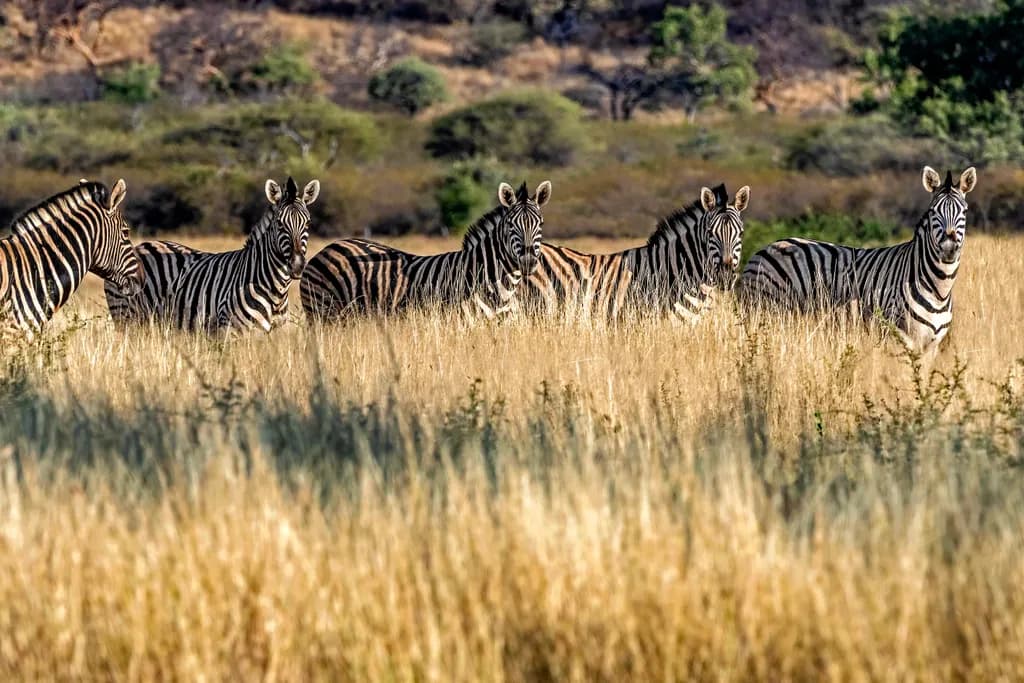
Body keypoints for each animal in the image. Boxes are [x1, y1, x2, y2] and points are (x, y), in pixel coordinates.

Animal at [105, 177, 320, 332]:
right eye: (279, 224)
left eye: (308, 223)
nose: (297, 265)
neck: (275, 290)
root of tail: (141, 245)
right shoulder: (231, 331)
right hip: (126, 316)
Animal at [738, 166, 977, 352]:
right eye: (933, 212)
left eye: (965, 211)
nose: (948, 248)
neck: (938, 289)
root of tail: (766, 247)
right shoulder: (902, 336)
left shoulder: (932, 345)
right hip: (767, 311)